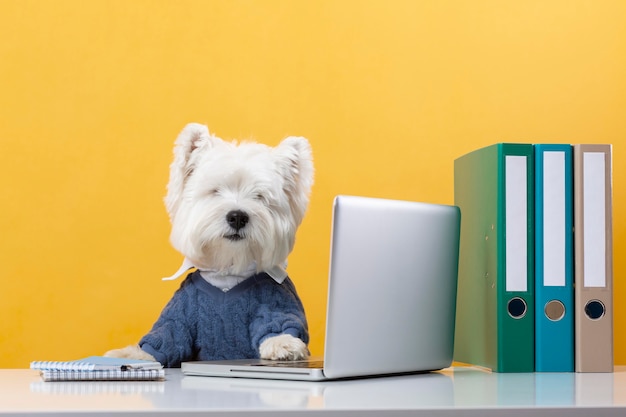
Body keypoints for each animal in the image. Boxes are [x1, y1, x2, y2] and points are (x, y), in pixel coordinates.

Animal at [106, 122, 316, 364]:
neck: (228, 271)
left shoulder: (275, 300)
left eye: (260, 197)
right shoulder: (181, 312)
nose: (237, 217)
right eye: (215, 191)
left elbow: (279, 321)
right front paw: (129, 355)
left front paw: (283, 343)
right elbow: (167, 336)